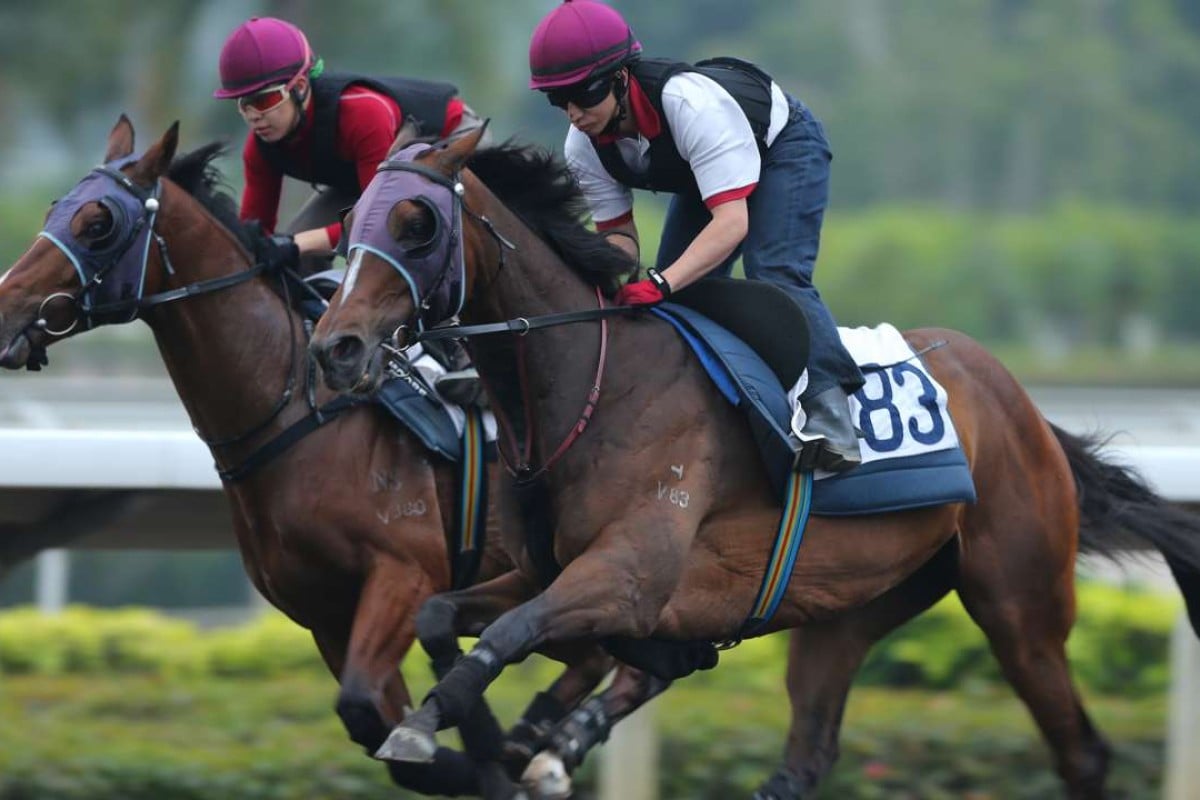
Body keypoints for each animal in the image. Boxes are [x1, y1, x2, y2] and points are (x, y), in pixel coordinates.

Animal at [0, 117, 628, 800]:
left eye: (98, 224)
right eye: (52, 210)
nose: (5, 307)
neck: (295, 412)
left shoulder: (403, 576)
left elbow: (372, 708)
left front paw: (488, 759)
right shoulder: (325, 612)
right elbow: (369, 718)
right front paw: (481, 756)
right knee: (598, 653)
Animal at [307, 128, 1200, 796]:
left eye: (416, 223)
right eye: (351, 224)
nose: (335, 348)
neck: (595, 381)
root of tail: (1023, 405)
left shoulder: (628, 572)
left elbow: (516, 630)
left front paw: (437, 730)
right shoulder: (542, 570)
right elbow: (443, 615)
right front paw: (491, 737)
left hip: (1021, 603)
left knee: (1081, 750)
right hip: (851, 608)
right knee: (803, 756)